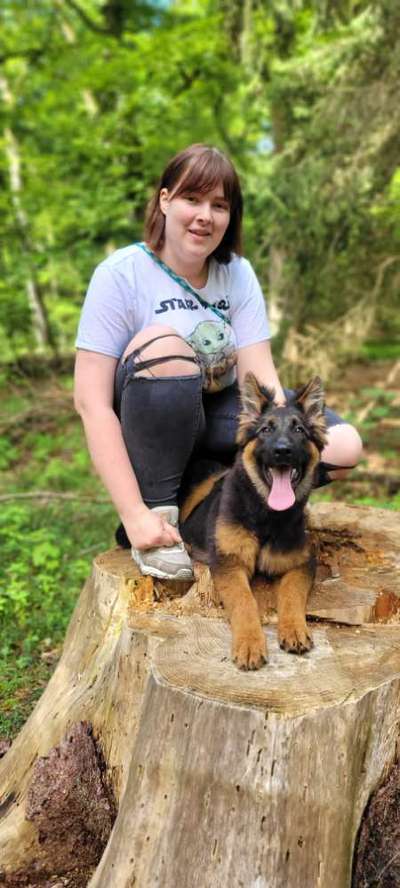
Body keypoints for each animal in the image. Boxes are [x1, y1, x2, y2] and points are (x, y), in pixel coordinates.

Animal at [180, 372, 326, 668]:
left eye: (299, 430)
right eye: (266, 430)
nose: (282, 451)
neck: (266, 516)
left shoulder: (302, 563)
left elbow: (291, 594)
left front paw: (295, 629)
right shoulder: (228, 563)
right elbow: (244, 601)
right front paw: (249, 644)